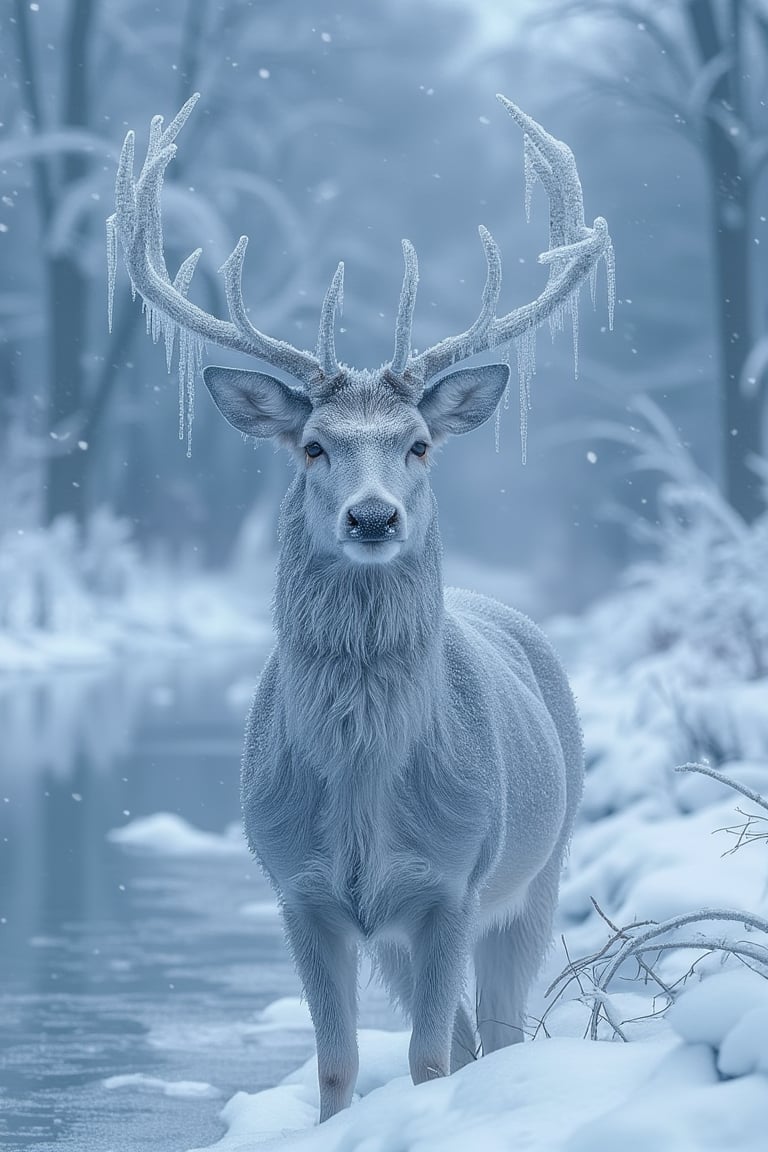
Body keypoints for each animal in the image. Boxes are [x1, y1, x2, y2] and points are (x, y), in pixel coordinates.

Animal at [108, 94, 612, 1119]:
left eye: (418, 442)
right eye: (312, 445)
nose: (373, 515)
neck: (361, 783)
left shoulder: (453, 879)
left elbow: (428, 1060)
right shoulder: (301, 889)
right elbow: (338, 1063)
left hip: (539, 867)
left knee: (496, 1030)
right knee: (470, 1033)